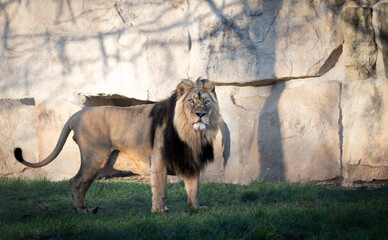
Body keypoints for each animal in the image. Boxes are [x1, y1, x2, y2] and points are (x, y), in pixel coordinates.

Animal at [14, 79, 221, 214]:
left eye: (207, 101)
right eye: (191, 101)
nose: (201, 114)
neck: (192, 134)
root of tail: (76, 115)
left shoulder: (191, 161)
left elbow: (193, 188)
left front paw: (196, 208)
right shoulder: (158, 159)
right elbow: (160, 188)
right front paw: (159, 210)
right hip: (94, 157)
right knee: (76, 181)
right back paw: (83, 210)